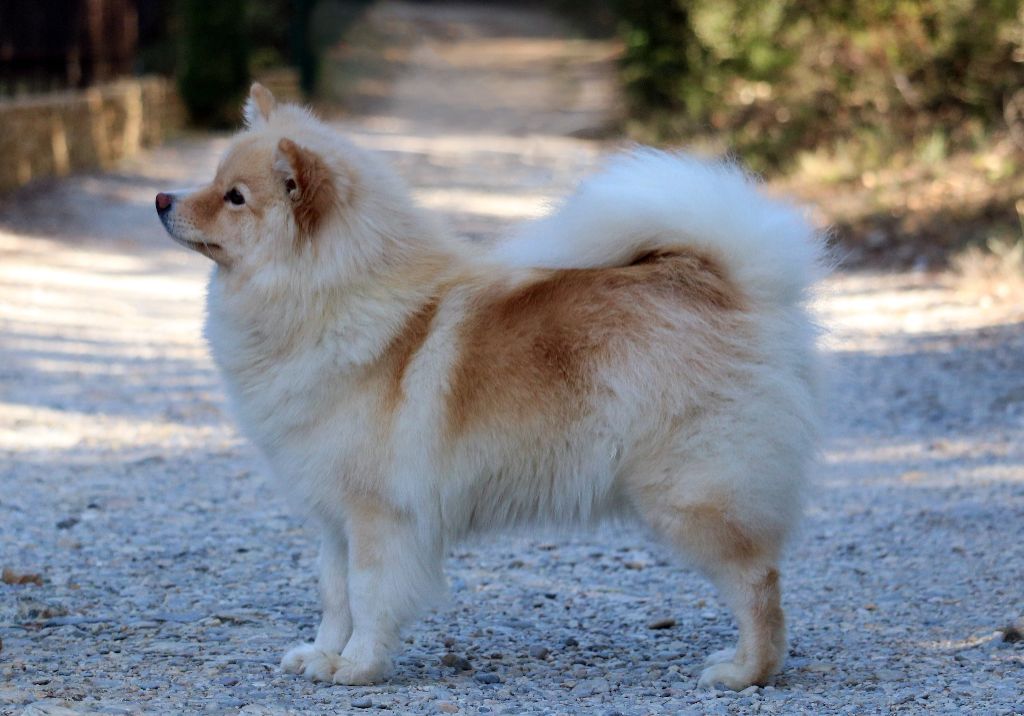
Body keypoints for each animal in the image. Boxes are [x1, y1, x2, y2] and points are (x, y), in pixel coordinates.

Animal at [153, 85, 823, 696]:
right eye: (214, 179)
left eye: (234, 198)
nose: (161, 198)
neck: (324, 295)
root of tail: (728, 283)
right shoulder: (334, 516)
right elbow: (334, 593)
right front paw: (322, 654)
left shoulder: (379, 516)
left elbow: (369, 595)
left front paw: (358, 668)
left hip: (690, 493)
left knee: (758, 583)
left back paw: (745, 671)